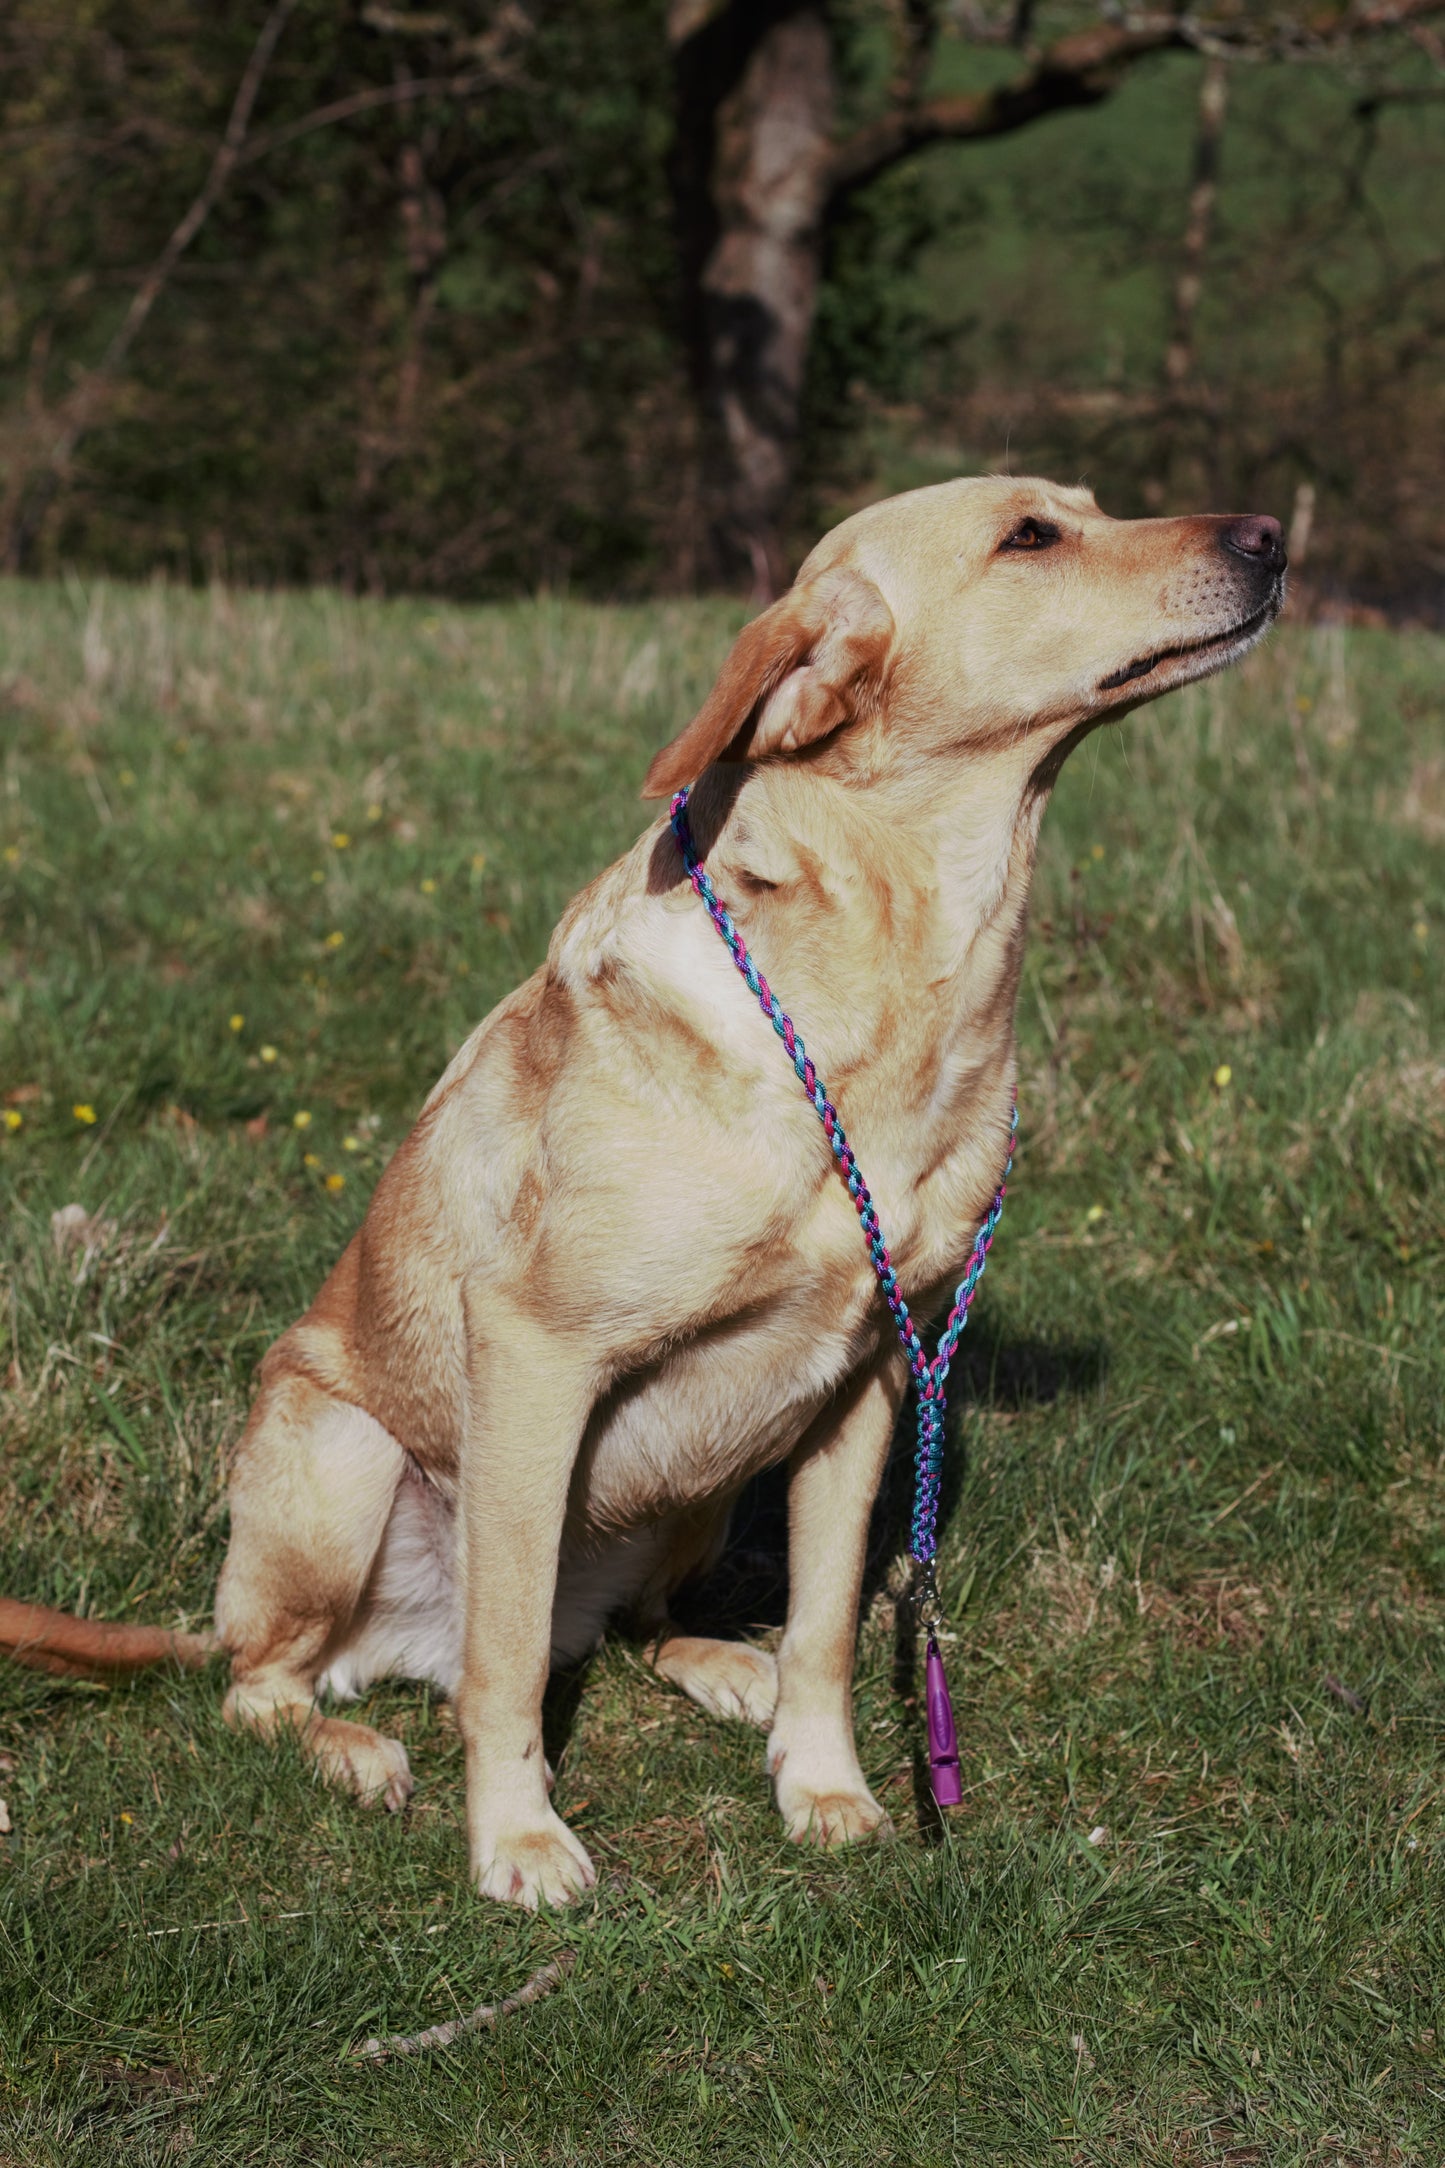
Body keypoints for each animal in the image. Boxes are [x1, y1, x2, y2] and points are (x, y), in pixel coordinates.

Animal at [2, 479, 1291, 1916]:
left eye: (1087, 508)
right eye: (1028, 537)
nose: (1269, 535)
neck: (908, 962)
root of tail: (387, 1651)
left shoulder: (864, 1381)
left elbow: (829, 1624)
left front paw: (822, 1784)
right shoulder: (532, 1354)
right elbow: (507, 1657)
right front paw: (515, 1837)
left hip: (708, 1476)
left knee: (633, 1624)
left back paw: (726, 1663)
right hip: (339, 1458)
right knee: (272, 1682)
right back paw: (353, 1744)